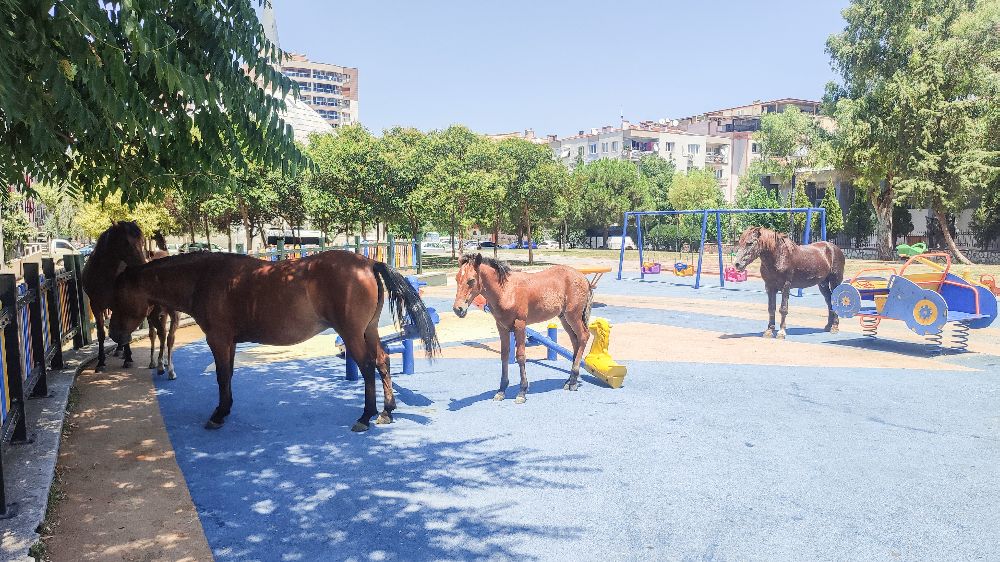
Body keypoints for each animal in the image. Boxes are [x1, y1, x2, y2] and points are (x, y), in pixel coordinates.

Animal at [81, 221, 147, 370]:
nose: (143, 265)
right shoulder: (95, 306)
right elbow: (101, 333)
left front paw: (128, 358)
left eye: (142, 241)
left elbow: (124, 328)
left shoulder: (121, 305)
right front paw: (101, 362)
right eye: (126, 242)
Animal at [107, 252, 440, 430]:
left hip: (351, 332)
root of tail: (367, 263)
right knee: (382, 361)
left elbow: (221, 376)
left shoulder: (218, 338)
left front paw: (218, 414)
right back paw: (387, 410)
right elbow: (228, 375)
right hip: (368, 330)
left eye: (119, 295)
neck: (205, 278)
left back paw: (366, 415)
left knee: (368, 366)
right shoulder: (229, 341)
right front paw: (226, 409)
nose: (114, 335)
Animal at [454, 254, 592, 402]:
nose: (458, 309)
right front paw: (501, 390)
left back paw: (573, 381)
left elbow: (520, 356)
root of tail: (583, 277)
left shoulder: (520, 325)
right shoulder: (502, 327)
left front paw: (522, 391)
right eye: (456, 279)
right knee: (575, 341)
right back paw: (569, 380)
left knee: (584, 336)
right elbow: (504, 355)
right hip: (564, 318)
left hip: (573, 316)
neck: (506, 291)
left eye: (471, 280)